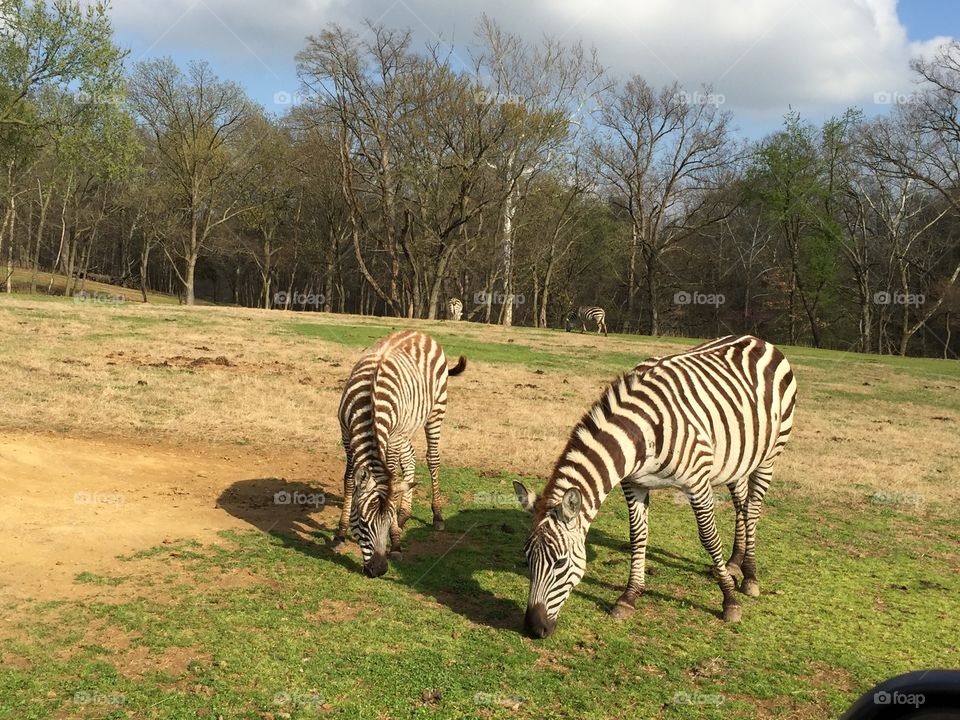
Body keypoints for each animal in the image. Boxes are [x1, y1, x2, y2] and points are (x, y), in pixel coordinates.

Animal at [331, 330, 467, 577]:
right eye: (362, 521)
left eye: (386, 522)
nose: (379, 569)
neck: (370, 402)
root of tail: (420, 333)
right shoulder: (346, 434)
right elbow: (349, 480)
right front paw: (340, 533)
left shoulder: (392, 439)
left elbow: (392, 484)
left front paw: (395, 543)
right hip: (407, 427)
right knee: (410, 458)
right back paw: (405, 515)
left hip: (435, 412)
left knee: (432, 459)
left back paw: (437, 516)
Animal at [513, 335, 796, 637]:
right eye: (527, 559)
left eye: (560, 562)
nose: (534, 628)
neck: (640, 434)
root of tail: (757, 339)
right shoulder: (634, 484)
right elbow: (638, 537)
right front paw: (629, 596)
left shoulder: (697, 481)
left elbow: (709, 538)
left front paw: (729, 601)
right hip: (738, 459)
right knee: (741, 504)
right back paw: (734, 562)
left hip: (769, 455)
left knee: (752, 510)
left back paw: (750, 576)